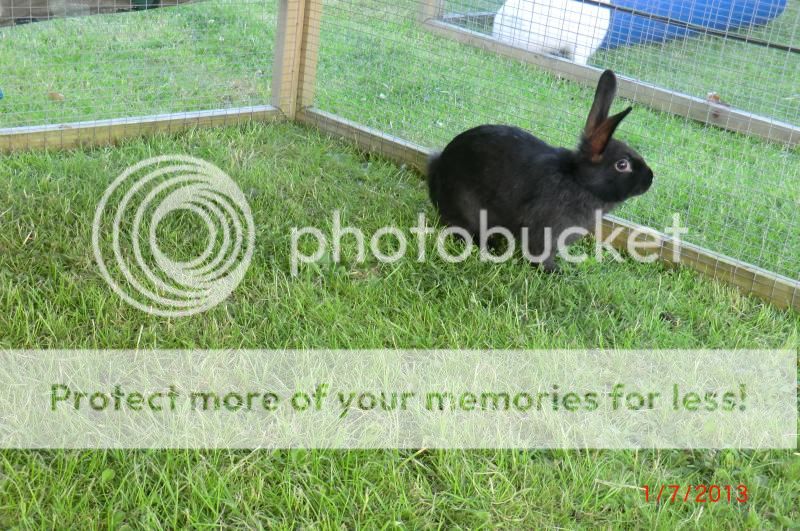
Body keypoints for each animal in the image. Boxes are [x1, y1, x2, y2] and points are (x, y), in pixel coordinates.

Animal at [428, 69, 652, 272]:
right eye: (622, 164)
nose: (650, 179)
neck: (579, 181)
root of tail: (437, 170)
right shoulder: (545, 231)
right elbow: (540, 253)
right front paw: (558, 271)